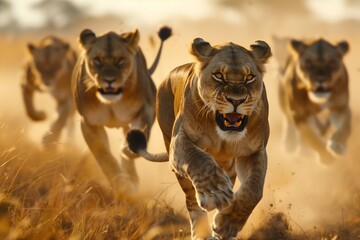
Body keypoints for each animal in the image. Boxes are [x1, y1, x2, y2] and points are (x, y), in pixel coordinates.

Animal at [72, 26, 172, 194]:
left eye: (121, 60)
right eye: (97, 60)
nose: (109, 80)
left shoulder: (146, 111)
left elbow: (136, 143)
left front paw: (126, 151)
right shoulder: (89, 123)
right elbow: (103, 155)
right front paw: (122, 185)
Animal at [126, 38, 270, 239]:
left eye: (249, 77)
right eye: (218, 75)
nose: (236, 100)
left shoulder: (254, 150)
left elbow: (254, 190)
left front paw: (227, 224)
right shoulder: (179, 140)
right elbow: (198, 159)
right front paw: (215, 192)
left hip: (229, 167)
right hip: (175, 158)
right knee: (191, 199)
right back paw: (202, 230)